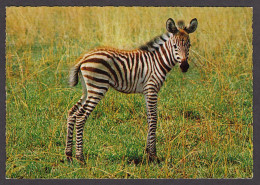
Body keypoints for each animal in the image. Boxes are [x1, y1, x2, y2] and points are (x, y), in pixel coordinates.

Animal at [65, 17, 199, 163]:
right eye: (175, 46)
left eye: (189, 45)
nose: (185, 66)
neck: (158, 61)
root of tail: (84, 57)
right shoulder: (152, 89)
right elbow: (154, 118)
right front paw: (153, 155)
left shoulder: (147, 91)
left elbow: (149, 118)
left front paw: (148, 152)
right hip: (98, 87)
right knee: (81, 116)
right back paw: (80, 157)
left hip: (87, 89)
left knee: (72, 112)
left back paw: (68, 155)